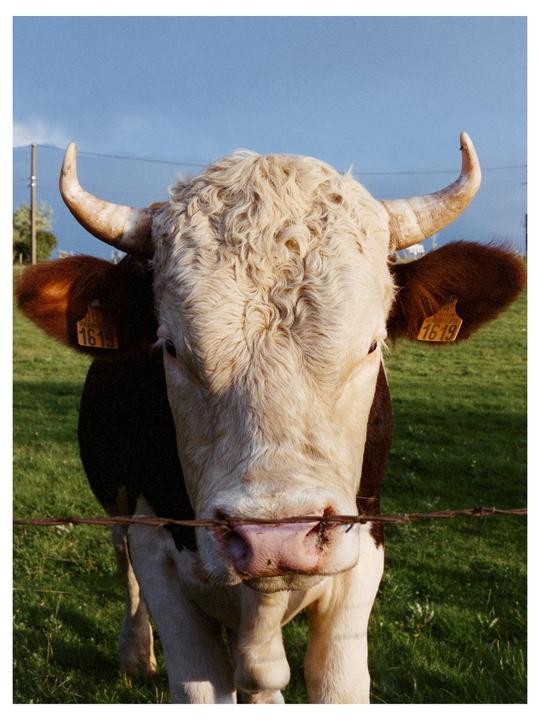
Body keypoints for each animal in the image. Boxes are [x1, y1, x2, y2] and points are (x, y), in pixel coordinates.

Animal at [16, 134, 525, 703]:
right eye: (170, 347)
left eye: (372, 344)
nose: (274, 539)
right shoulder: (159, 553)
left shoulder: (365, 545)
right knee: (121, 558)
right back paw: (135, 653)